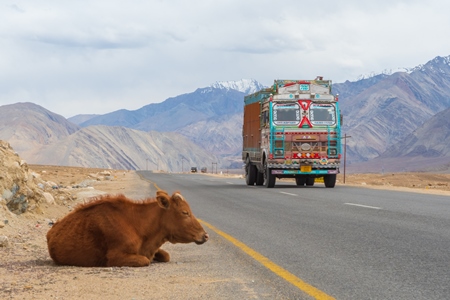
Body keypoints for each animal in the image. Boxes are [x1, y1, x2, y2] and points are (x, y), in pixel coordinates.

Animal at [46, 190, 208, 268]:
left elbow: (166, 255)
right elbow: (145, 260)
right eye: (185, 212)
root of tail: (51, 231)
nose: (205, 235)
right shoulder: (115, 257)